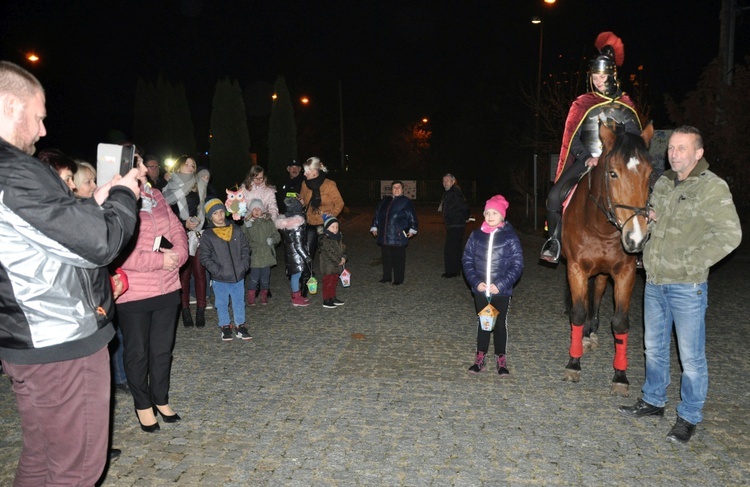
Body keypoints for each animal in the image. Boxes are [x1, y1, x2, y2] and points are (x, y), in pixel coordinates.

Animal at [560, 122, 656, 396]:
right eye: (613, 173)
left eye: (650, 174)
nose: (636, 237)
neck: (600, 228)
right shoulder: (576, 269)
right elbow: (578, 312)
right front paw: (573, 363)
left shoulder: (625, 273)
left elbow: (620, 322)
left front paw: (620, 376)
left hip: (603, 273)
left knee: (598, 292)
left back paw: (591, 331)